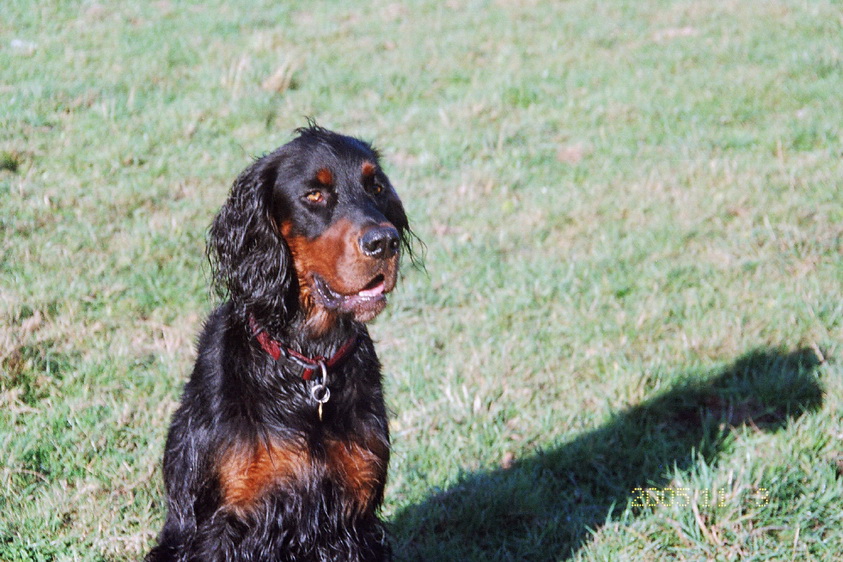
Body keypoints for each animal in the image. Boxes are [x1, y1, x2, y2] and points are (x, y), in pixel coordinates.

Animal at [146, 124, 414, 561]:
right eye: (314, 195)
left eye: (375, 186)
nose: (384, 242)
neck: (308, 365)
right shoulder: (222, 523)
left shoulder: (354, 520)